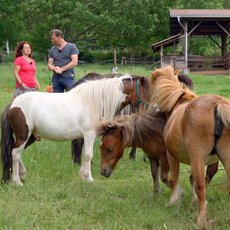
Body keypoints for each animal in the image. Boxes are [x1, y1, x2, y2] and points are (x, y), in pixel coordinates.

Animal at [0, 75, 146, 187]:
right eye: (145, 94)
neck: (95, 102)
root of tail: (12, 105)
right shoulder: (89, 134)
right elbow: (88, 155)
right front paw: (89, 179)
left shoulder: (88, 136)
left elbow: (84, 155)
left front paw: (83, 176)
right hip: (23, 136)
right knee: (15, 153)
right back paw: (17, 181)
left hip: (30, 137)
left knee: (15, 152)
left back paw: (21, 175)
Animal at [150, 65, 229, 230]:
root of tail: (217, 104)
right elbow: (194, 179)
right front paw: (192, 202)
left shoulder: (172, 156)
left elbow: (174, 179)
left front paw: (173, 202)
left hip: (197, 158)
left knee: (200, 184)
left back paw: (201, 220)